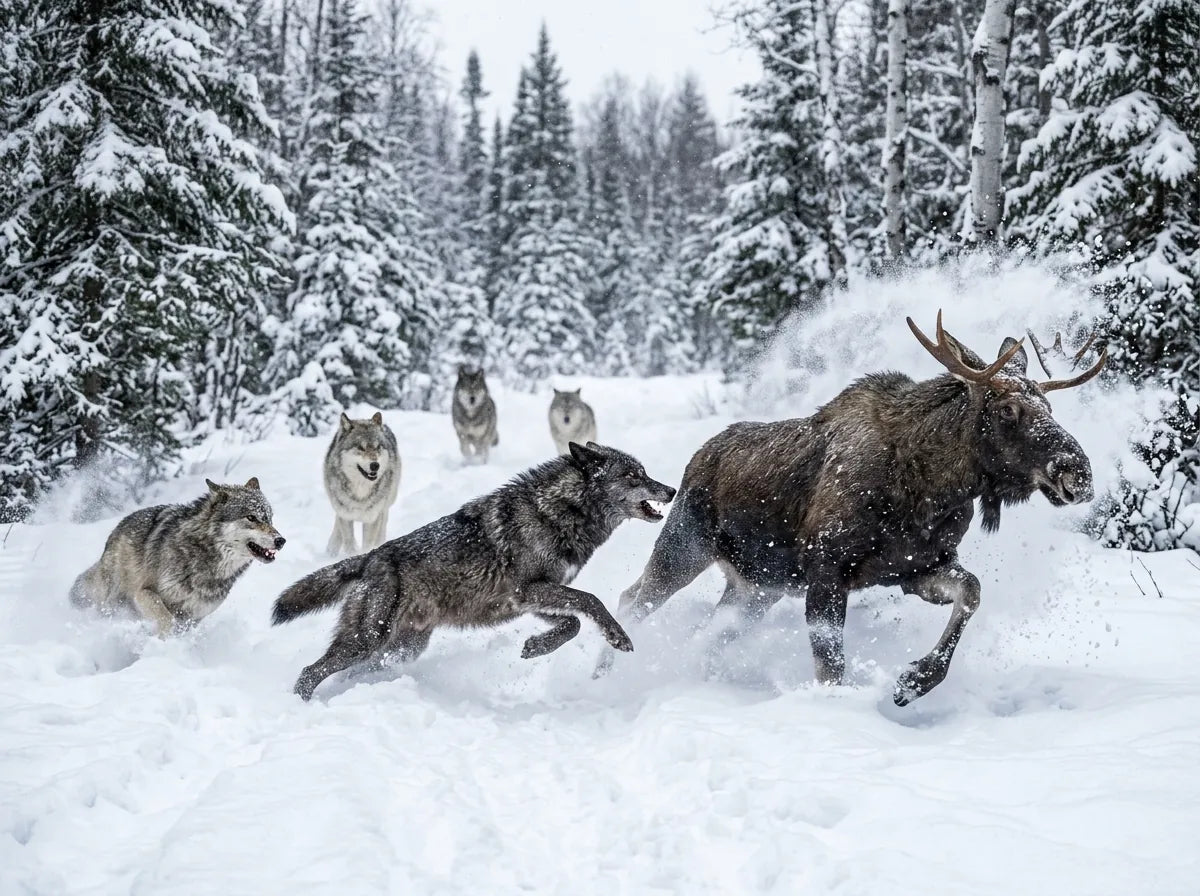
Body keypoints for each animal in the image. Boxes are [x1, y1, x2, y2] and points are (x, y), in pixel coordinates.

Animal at [69, 477, 285, 636]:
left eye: (269, 519)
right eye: (251, 517)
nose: (281, 540)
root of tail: (118, 528)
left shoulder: (193, 618)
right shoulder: (144, 592)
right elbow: (166, 619)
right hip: (114, 599)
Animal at [271, 442, 677, 701]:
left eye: (644, 472)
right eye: (633, 475)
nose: (672, 490)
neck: (558, 511)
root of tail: (369, 559)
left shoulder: (533, 599)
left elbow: (573, 623)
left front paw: (534, 647)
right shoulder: (529, 591)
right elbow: (591, 602)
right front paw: (618, 637)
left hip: (399, 651)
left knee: (349, 673)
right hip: (366, 641)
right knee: (310, 672)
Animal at [324, 411, 400, 555]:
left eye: (377, 447)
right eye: (361, 447)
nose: (375, 465)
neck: (360, 490)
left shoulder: (372, 518)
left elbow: (368, 544)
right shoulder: (346, 516)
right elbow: (348, 542)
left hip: (386, 504)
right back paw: (331, 549)